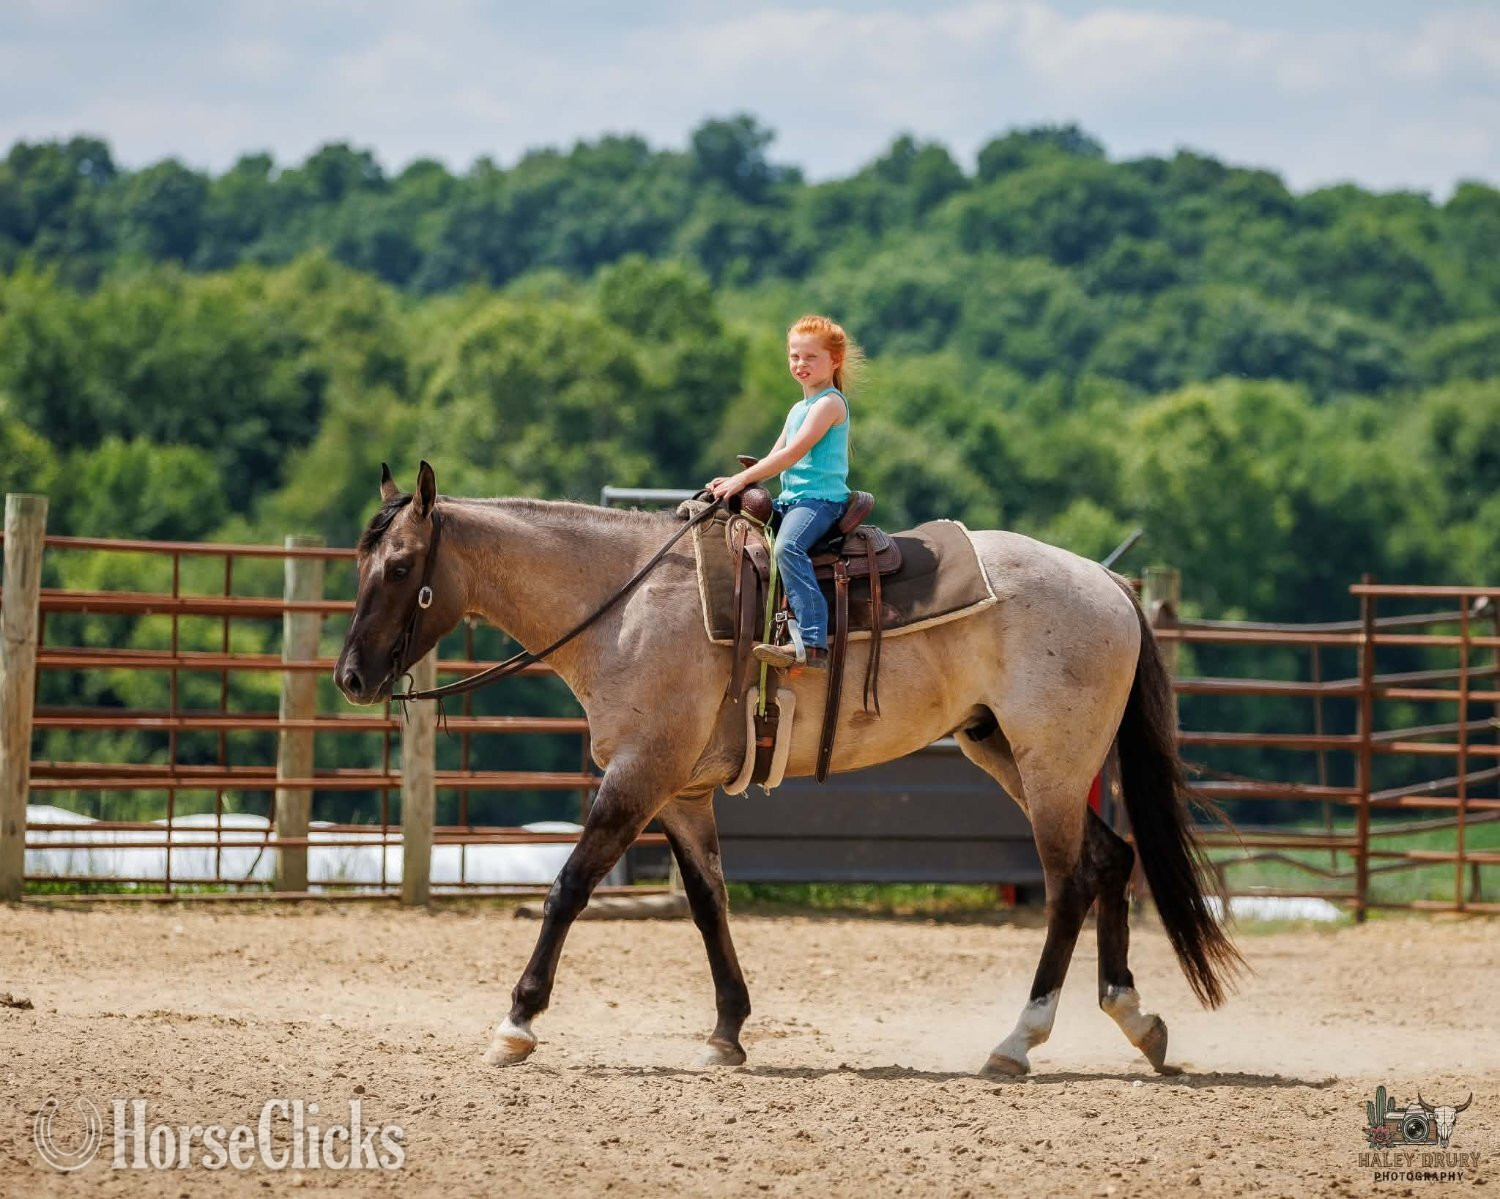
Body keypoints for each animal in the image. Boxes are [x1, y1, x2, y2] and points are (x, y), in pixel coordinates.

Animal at [334, 462, 1242, 1077]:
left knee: (1067, 882)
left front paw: (517, 1022)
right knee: (1110, 860)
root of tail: (1109, 583)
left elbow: (568, 888)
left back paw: (1018, 1040)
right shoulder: (682, 792)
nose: (349, 676)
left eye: (402, 566)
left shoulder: (636, 776)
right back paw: (1137, 1021)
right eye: (360, 562)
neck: (627, 603)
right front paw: (727, 1031)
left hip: (1050, 763)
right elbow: (709, 905)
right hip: (1006, 752)